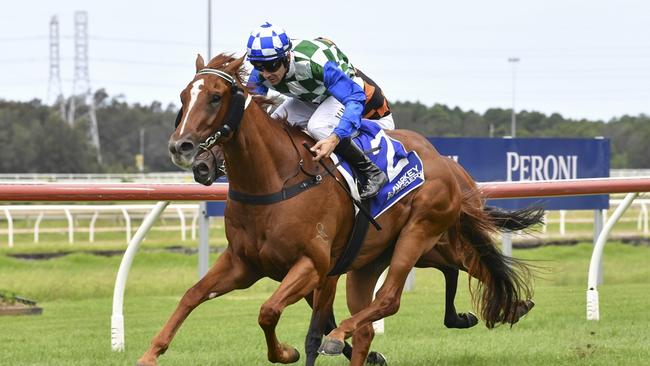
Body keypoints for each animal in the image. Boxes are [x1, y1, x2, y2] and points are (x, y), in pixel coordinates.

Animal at [139, 55, 540, 366]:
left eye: (215, 97)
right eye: (183, 97)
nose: (183, 148)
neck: (274, 181)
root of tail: (446, 164)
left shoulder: (314, 266)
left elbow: (274, 313)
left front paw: (286, 351)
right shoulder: (244, 263)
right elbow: (192, 295)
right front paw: (150, 353)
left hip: (419, 233)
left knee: (389, 299)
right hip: (385, 258)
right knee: (399, 306)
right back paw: (507, 308)